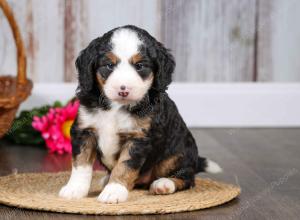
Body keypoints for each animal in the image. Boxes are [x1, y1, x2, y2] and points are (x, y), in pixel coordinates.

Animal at [59, 25, 221, 203]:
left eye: (139, 66)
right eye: (109, 65)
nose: (123, 89)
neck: (116, 107)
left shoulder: (137, 138)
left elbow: (124, 166)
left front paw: (114, 191)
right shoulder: (85, 131)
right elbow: (81, 164)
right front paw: (75, 189)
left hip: (178, 153)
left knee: (186, 178)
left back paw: (164, 184)